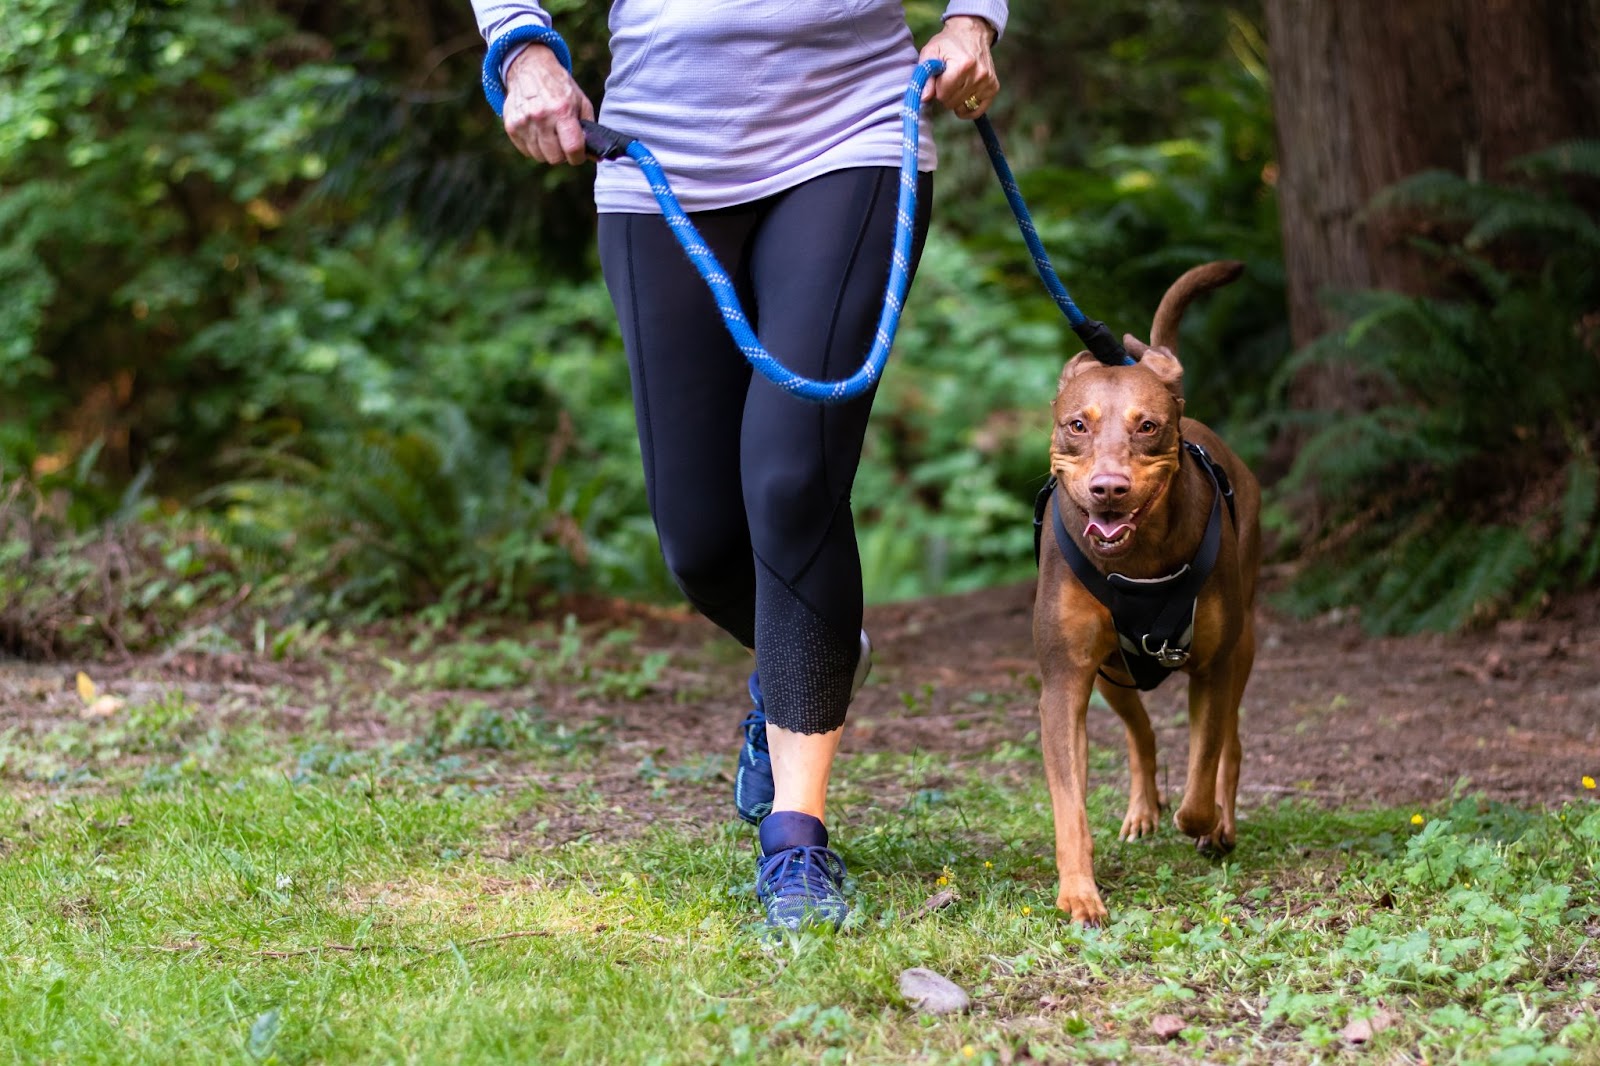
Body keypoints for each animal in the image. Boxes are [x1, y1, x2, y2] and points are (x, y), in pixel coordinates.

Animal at [1036, 259, 1260, 921]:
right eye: (1077, 424)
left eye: (1148, 426)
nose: (1109, 488)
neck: (1137, 562)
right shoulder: (1064, 679)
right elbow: (1070, 804)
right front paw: (1079, 893)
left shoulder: (1212, 667)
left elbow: (1202, 776)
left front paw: (1205, 821)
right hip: (1113, 671)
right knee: (1142, 734)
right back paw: (1143, 808)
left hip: (1243, 644)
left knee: (1229, 744)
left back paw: (1219, 823)